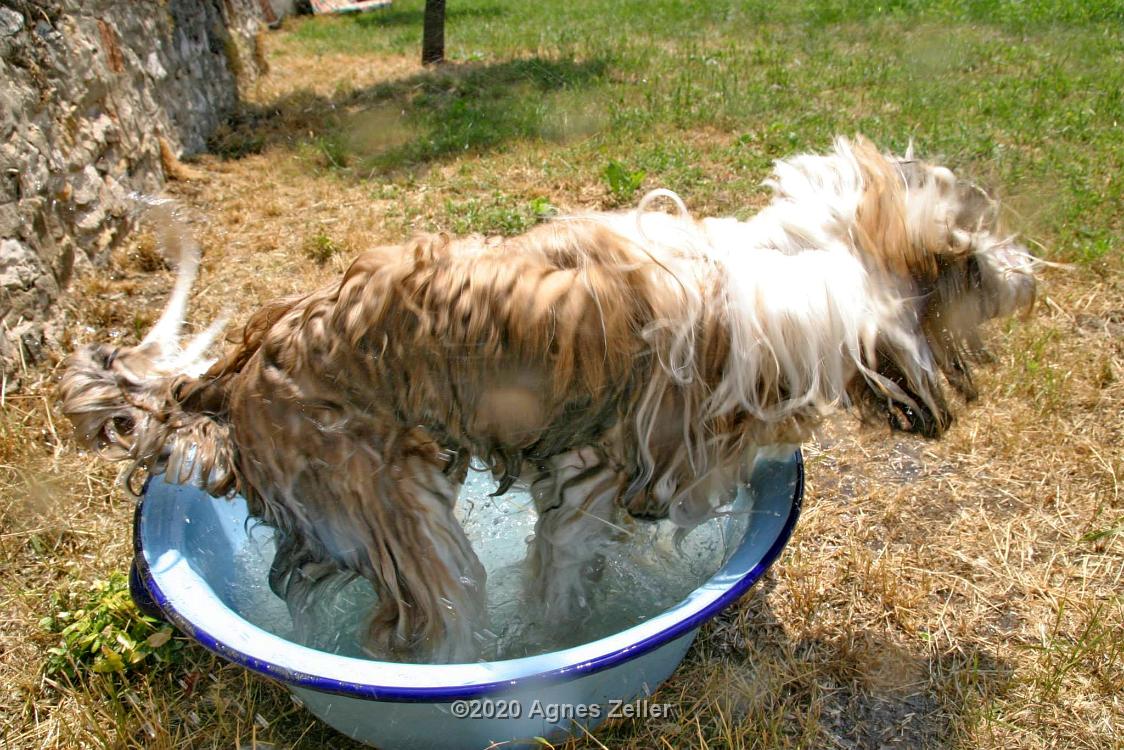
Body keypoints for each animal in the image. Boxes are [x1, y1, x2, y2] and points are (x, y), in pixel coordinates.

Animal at [61, 136, 1034, 661]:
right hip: (399, 523)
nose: (1028, 272)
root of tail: (224, 378)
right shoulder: (594, 478)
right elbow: (562, 581)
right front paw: (549, 648)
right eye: (968, 258)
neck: (800, 276)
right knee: (440, 610)